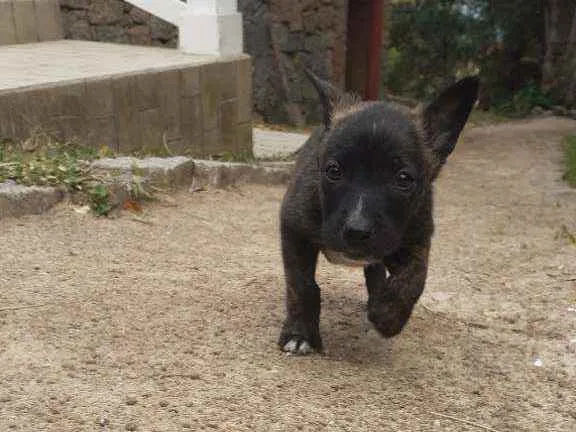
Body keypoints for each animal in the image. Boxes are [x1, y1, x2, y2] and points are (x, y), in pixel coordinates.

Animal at [276, 71, 480, 354]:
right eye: (333, 171)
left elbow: (414, 279)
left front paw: (388, 315)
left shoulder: (415, 240)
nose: (357, 230)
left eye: (403, 179)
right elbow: (302, 285)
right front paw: (300, 334)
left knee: (376, 273)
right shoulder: (294, 229)